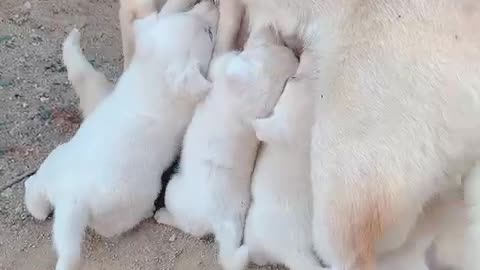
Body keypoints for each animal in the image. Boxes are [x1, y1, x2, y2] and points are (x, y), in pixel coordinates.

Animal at [155, 26, 296, 270]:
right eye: (281, 46)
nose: (269, 28)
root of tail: (221, 221)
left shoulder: (221, 66)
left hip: (174, 190)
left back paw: (161, 215)